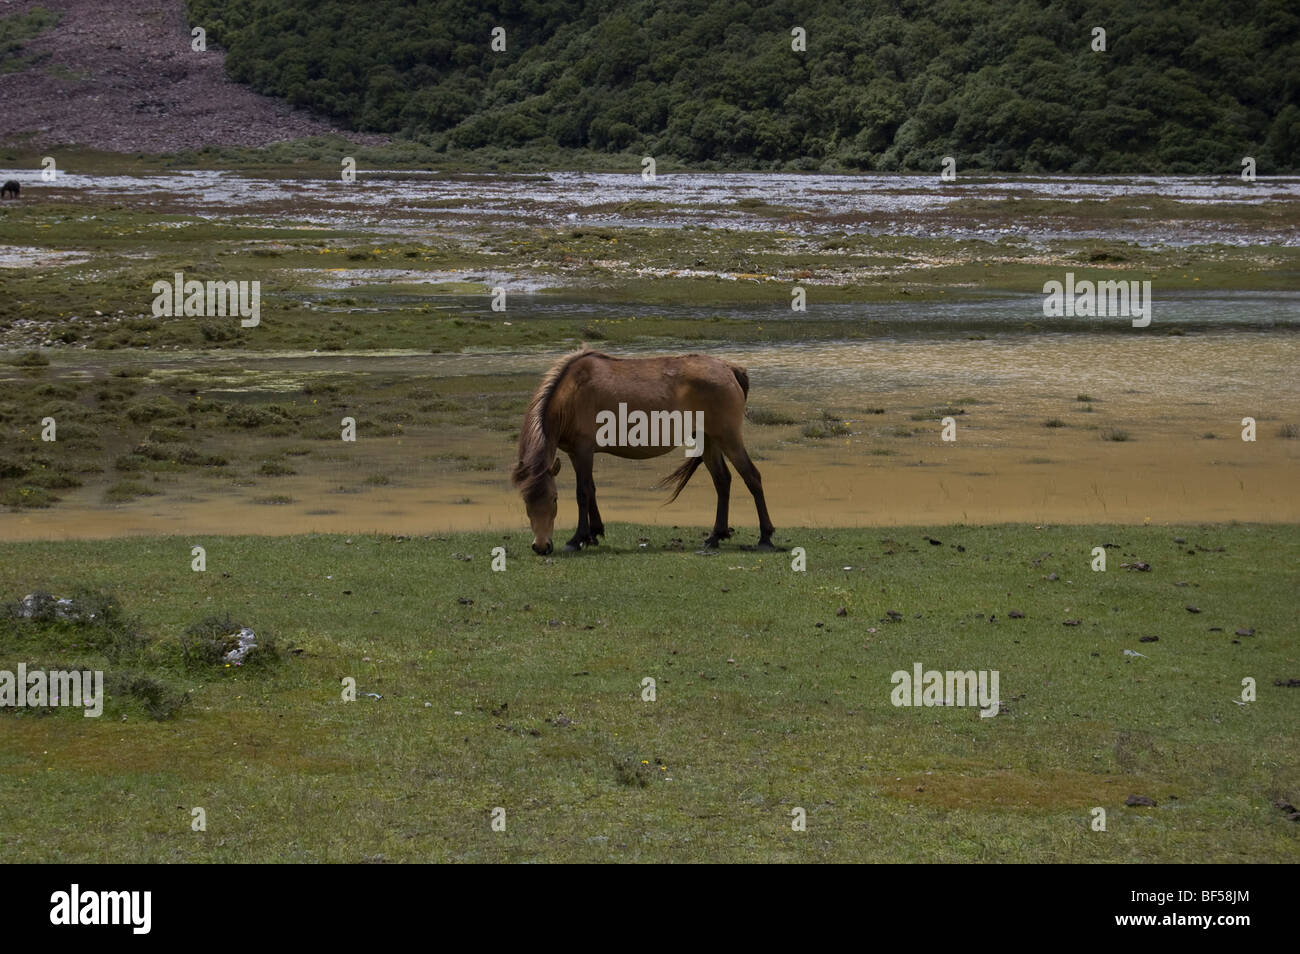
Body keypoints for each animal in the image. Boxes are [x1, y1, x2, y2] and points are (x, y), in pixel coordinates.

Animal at [506, 348, 769, 556]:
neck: (571, 393)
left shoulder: (583, 450)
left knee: (752, 477)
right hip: (707, 439)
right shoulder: (575, 453)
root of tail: (729, 369)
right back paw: (715, 536)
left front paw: (577, 539)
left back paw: (765, 538)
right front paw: (594, 533)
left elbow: (582, 492)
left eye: (554, 499)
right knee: (722, 481)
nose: (541, 546)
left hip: (728, 438)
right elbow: (591, 489)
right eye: (526, 501)